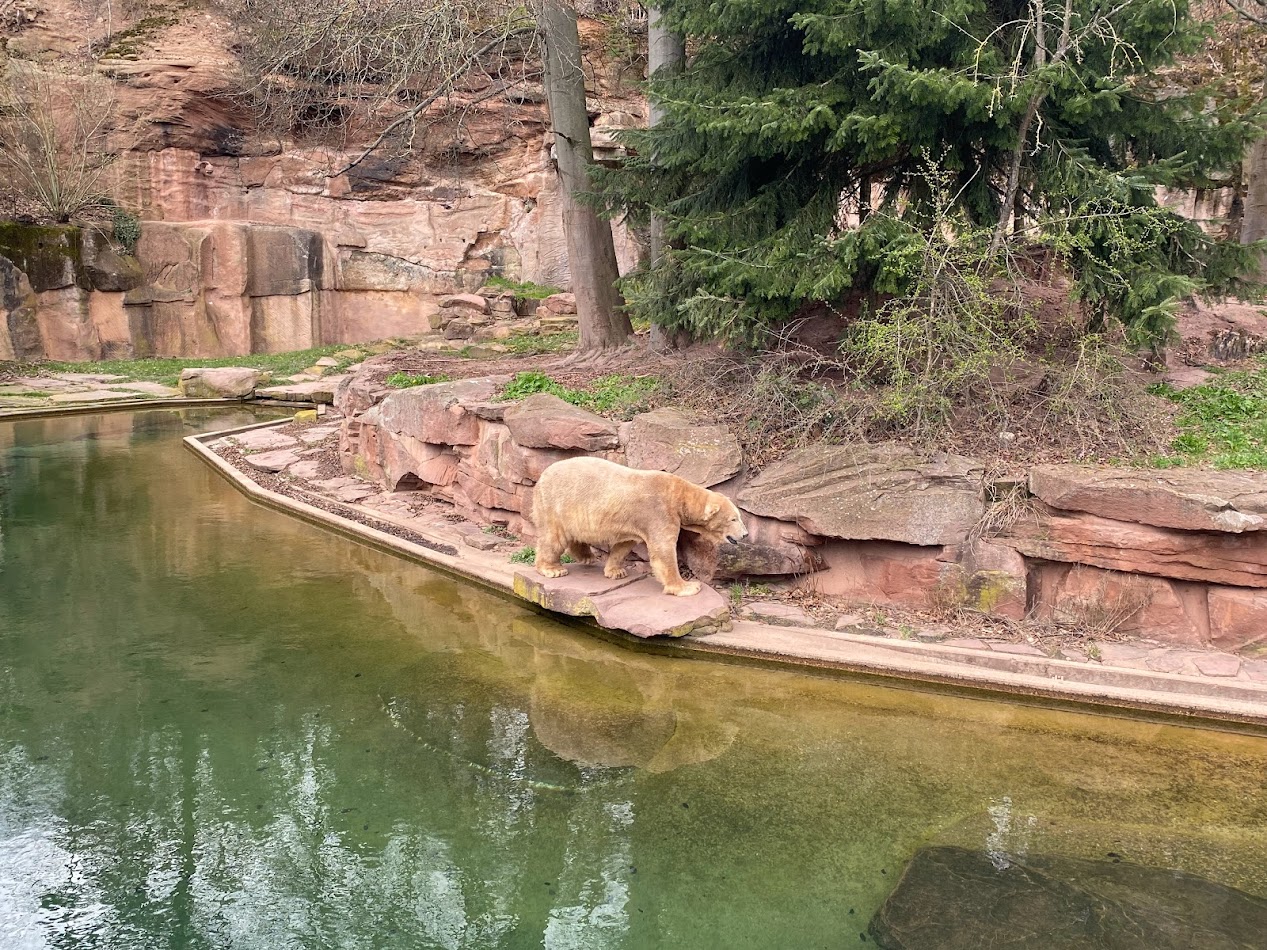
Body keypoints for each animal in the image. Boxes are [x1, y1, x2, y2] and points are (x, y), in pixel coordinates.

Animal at [530, 456, 748, 597]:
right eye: (734, 519)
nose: (745, 534)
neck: (679, 495)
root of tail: (542, 476)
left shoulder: (634, 522)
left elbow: (625, 544)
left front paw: (616, 571)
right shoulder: (659, 513)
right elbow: (663, 551)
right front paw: (688, 587)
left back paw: (587, 557)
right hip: (556, 502)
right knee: (553, 537)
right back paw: (553, 569)